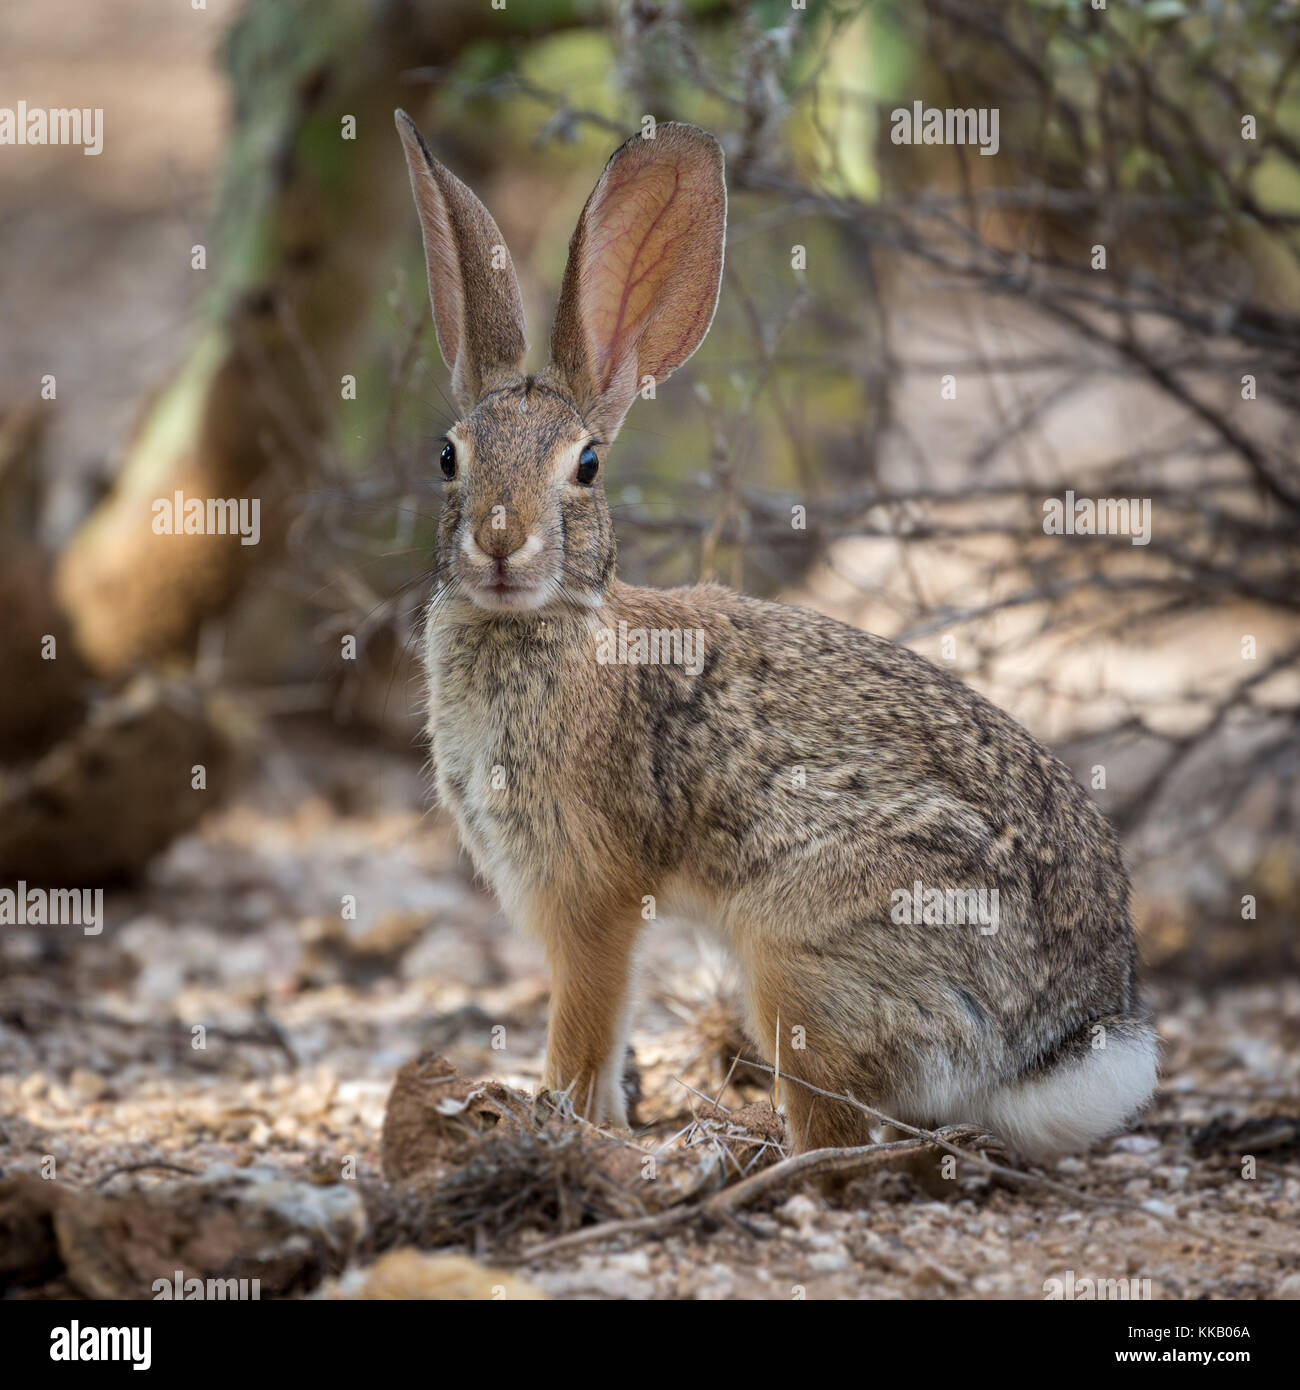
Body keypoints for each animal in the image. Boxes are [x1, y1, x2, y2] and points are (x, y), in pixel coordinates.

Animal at [394, 108, 1156, 1156]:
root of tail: (1051, 1048)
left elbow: (586, 1021)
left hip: (801, 955)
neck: (545, 624)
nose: (500, 544)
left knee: (842, 1137)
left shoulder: (591, 896)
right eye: (447, 456)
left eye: (586, 467)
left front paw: (567, 1120)